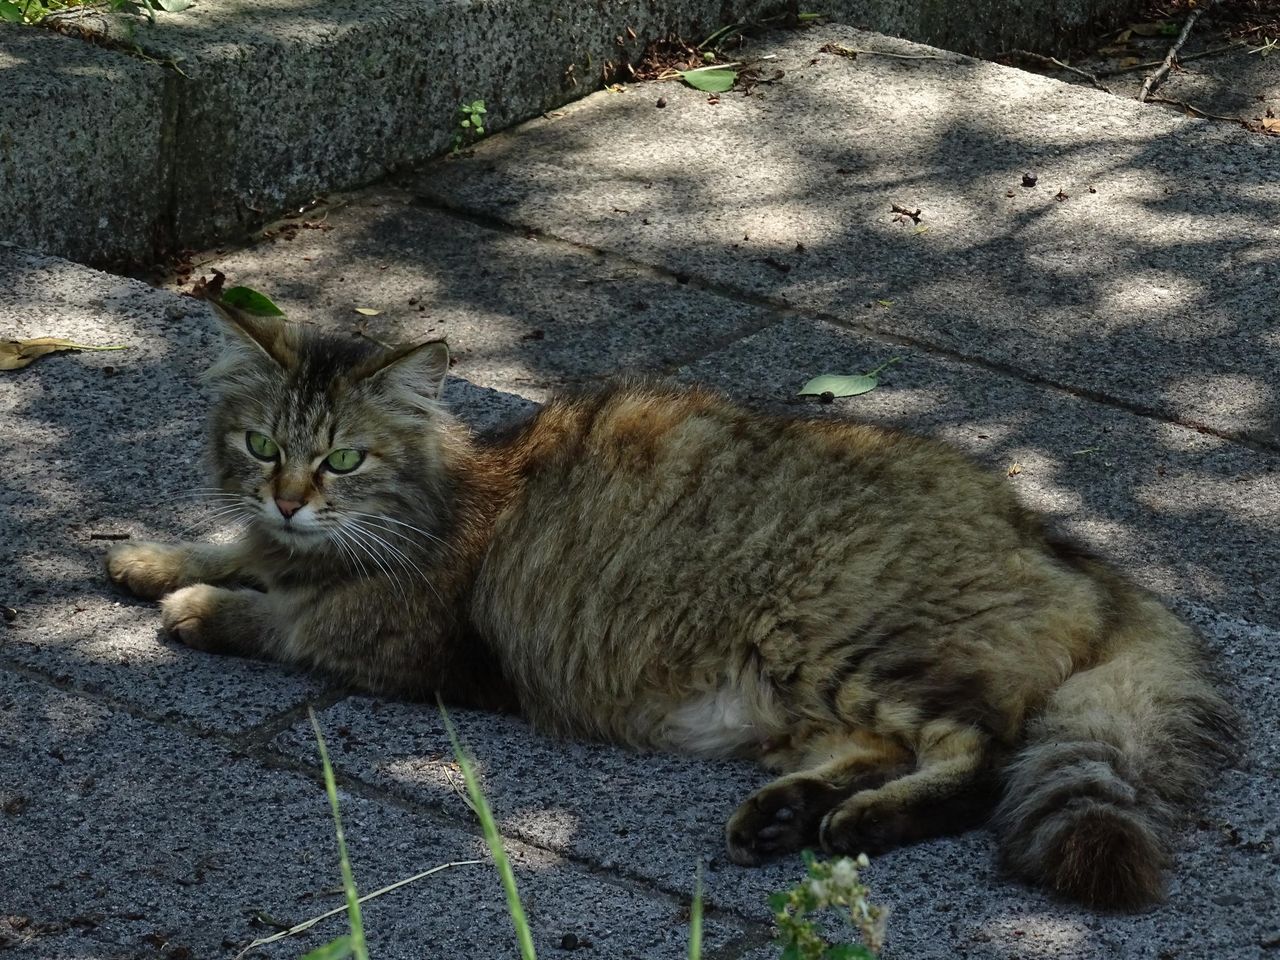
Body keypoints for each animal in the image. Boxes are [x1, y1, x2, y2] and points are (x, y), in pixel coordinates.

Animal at [106, 300, 1233, 910]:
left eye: (342, 458)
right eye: (262, 446)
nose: (291, 497)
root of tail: (1054, 540)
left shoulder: (398, 639)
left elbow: (281, 619)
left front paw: (199, 603)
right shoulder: (274, 540)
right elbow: (226, 544)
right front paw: (154, 554)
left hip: (832, 631)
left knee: (976, 755)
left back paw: (850, 822)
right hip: (807, 686)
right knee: (880, 748)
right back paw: (782, 815)